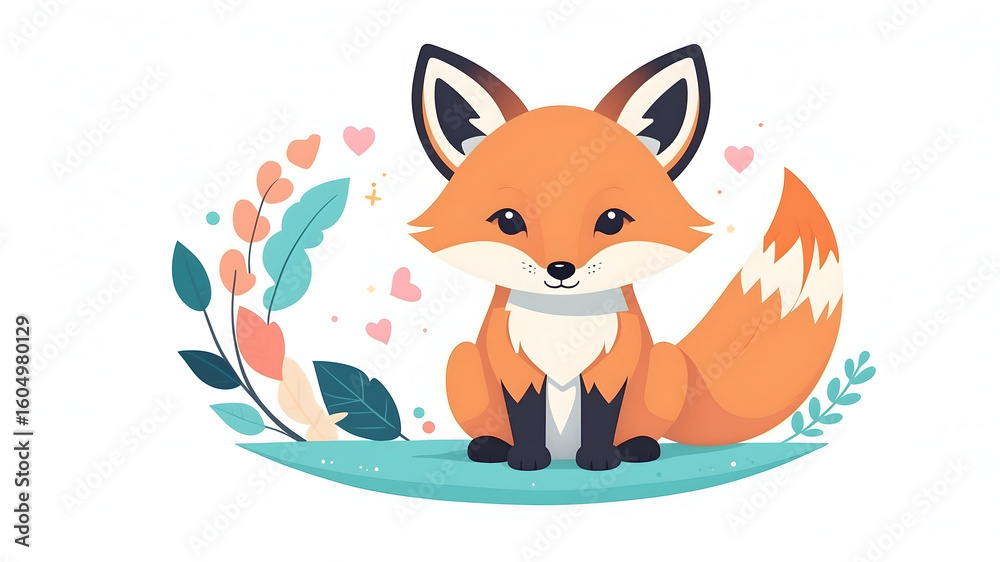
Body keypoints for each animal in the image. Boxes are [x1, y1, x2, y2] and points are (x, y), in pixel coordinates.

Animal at [408, 44, 843, 471]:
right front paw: (528, 458)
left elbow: (602, 414)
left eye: (613, 220)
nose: (561, 269)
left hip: (665, 360)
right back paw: (490, 446)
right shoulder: (514, 364)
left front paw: (600, 459)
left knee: (642, 426)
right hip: (462, 359)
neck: (563, 323)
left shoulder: (614, 363)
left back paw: (637, 447)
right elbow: (524, 415)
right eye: (509, 221)